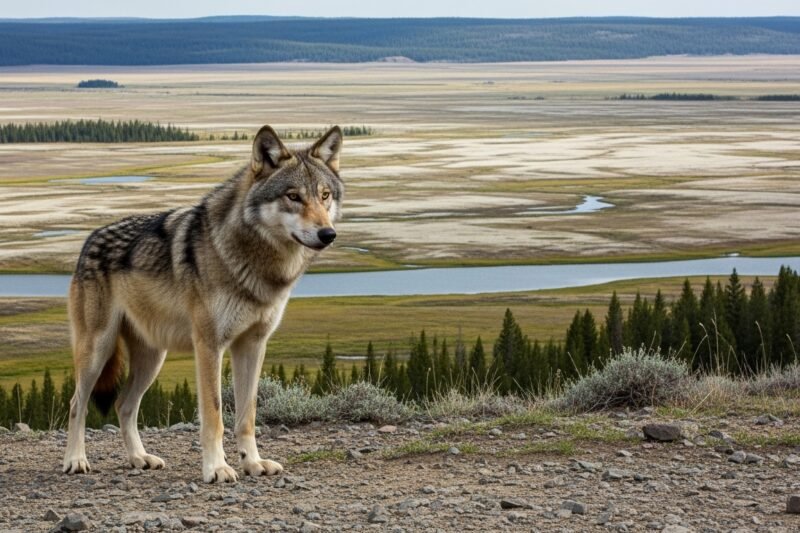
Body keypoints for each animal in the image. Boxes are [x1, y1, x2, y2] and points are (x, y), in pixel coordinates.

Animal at [62, 125, 343, 482]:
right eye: (293, 196)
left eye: (325, 195)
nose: (327, 234)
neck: (254, 260)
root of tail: (89, 239)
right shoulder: (209, 345)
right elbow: (214, 414)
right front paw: (217, 468)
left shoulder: (253, 345)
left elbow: (247, 414)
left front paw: (253, 462)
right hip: (97, 351)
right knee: (77, 404)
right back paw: (75, 460)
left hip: (152, 358)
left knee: (123, 405)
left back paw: (140, 458)